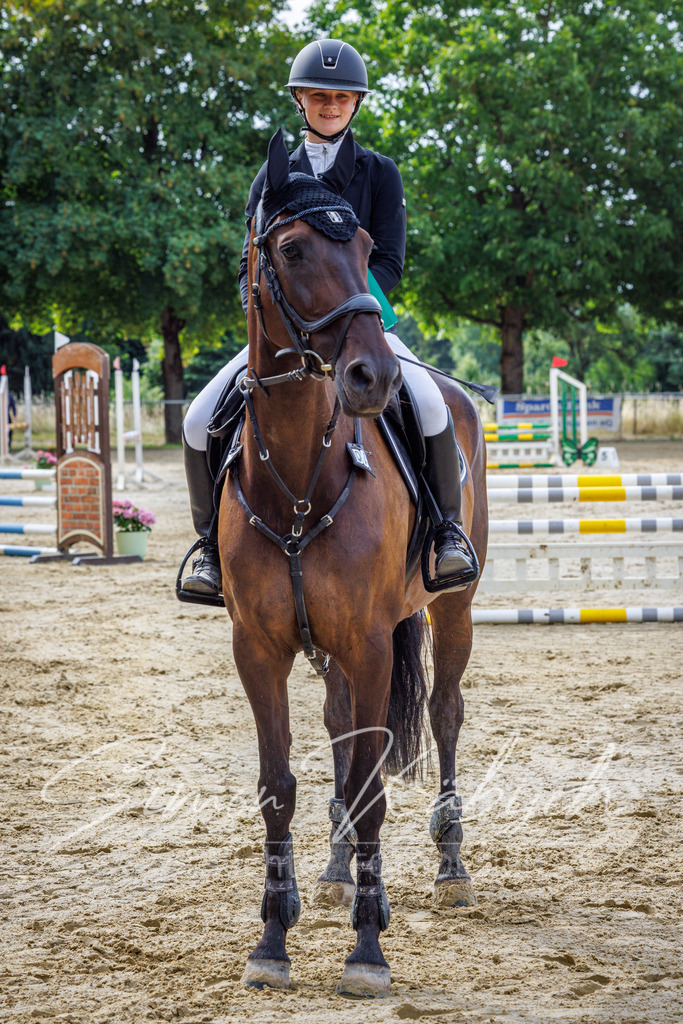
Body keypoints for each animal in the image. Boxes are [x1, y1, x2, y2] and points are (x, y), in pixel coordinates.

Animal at [216, 130, 488, 997]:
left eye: (368, 249)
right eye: (292, 248)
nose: (374, 378)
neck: (304, 478)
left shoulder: (370, 642)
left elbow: (372, 788)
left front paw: (368, 952)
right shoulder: (259, 647)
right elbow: (278, 788)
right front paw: (272, 938)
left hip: (449, 607)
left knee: (442, 712)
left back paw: (449, 867)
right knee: (341, 729)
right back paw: (336, 872)